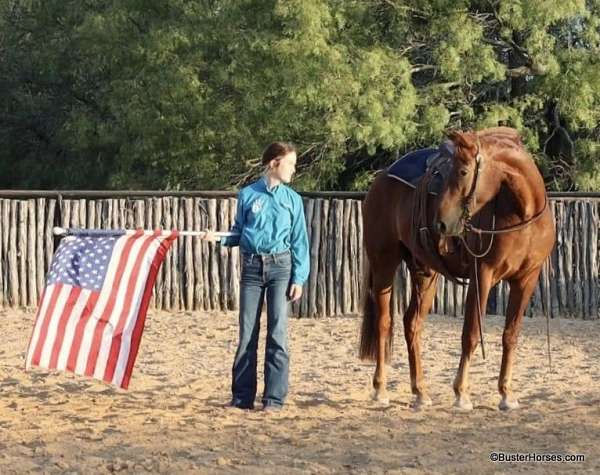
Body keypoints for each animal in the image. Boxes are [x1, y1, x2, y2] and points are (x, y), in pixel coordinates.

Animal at [358, 126, 556, 410]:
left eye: (463, 172)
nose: (441, 223)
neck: (523, 213)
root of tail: (381, 179)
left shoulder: (526, 279)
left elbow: (511, 335)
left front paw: (506, 394)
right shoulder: (482, 274)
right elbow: (470, 333)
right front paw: (462, 393)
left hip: (425, 272)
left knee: (412, 324)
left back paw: (420, 392)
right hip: (384, 261)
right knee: (384, 323)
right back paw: (381, 389)